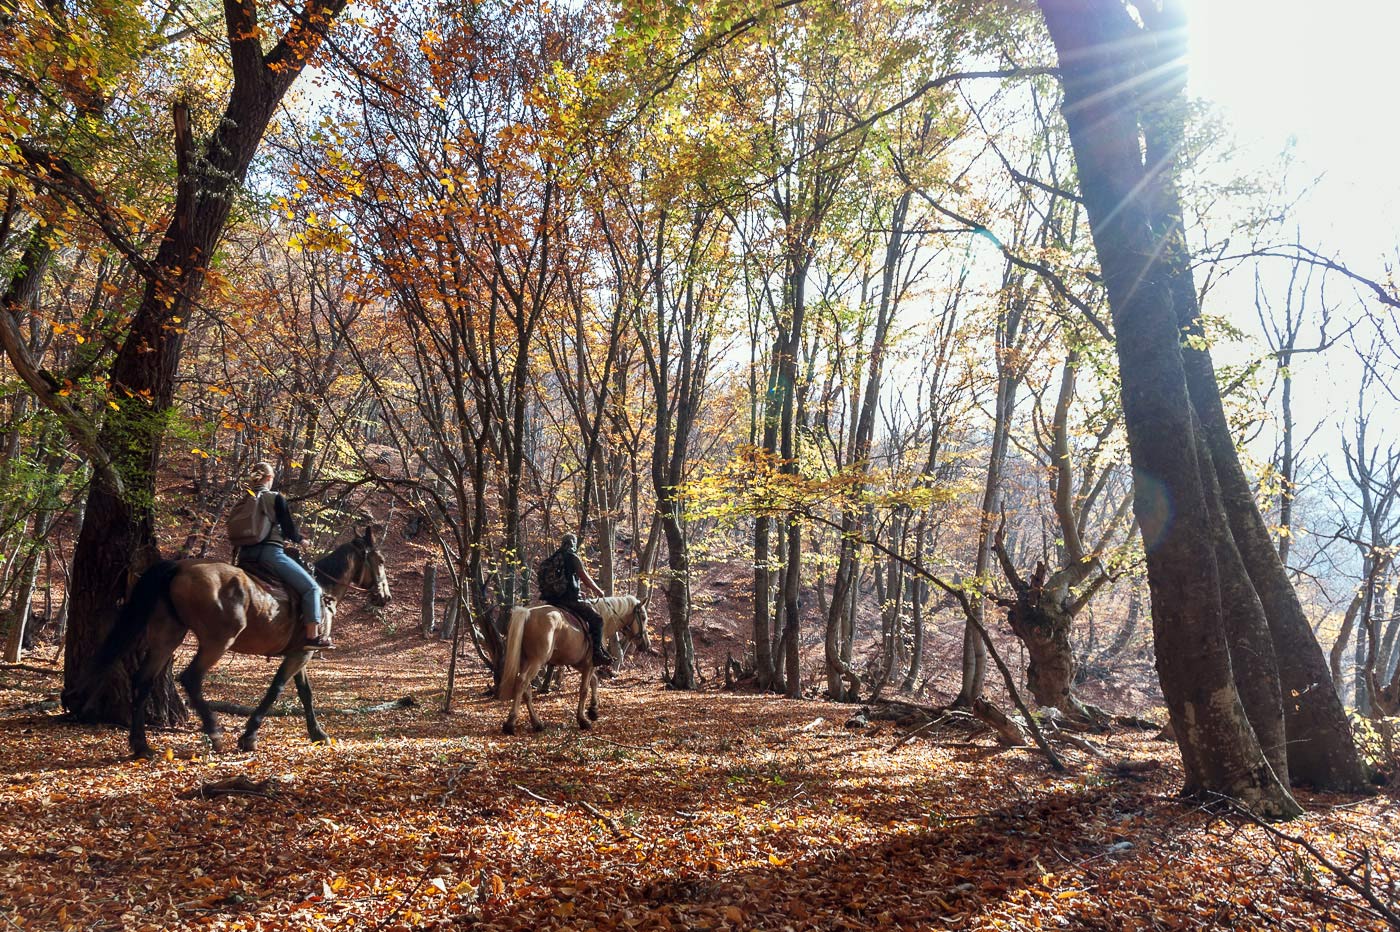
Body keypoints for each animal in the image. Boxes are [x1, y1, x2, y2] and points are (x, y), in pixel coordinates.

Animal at [80, 523, 392, 755]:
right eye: (379, 560)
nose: (385, 597)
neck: (323, 589)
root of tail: (179, 568)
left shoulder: (300, 652)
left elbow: (305, 693)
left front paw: (318, 734)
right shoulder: (302, 653)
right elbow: (276, 689)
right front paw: (249, 736)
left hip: (167, 637)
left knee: (144, 680)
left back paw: (141, 745)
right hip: (218, 641)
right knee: (191, 678)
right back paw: (214, 732)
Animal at [501, 596, 652, 733]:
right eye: (643, 617)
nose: (646, 644)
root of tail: (527, 613)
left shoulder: (580, 664)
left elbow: (594, 681)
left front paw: (593, 710)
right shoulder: (589, 664)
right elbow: (584, 690)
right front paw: (583, 720)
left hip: (525, 661)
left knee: (526, 689)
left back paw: (536, 723)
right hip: (536, 661)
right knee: (522, 682)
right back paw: (510, 723)